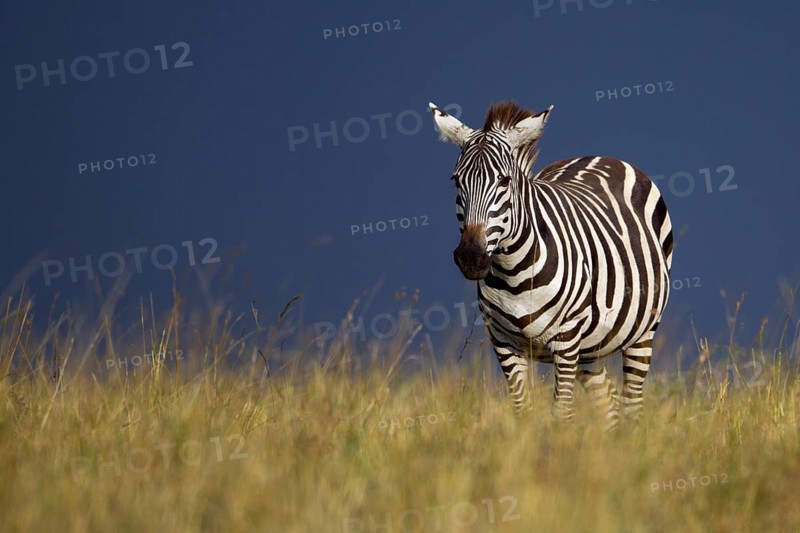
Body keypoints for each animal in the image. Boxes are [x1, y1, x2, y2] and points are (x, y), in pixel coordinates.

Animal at [428, 101, 672, 430]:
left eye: (504, 181)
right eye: (456, 180)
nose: (471, 257)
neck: (513, 272)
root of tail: (599, 155)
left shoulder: (566, 339)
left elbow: (562, 413)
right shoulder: (502, 341)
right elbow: (522, 410)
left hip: (642, 330)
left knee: (632, 403)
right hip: (591, 346)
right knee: (606, 404)